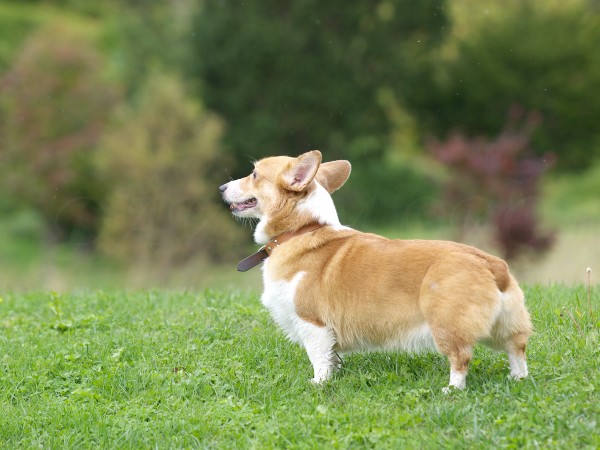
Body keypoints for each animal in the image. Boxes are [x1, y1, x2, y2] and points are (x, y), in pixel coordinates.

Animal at [219, 151, 528, 390]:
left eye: (254, 174)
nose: (221, 187)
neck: (303, 229)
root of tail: (491, 264)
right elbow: (332, 358)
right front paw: (335, 376)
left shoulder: (312, 324)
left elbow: (318, 359)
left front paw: (319, 383)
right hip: (506, 325)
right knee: (517, 349)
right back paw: (517, 379)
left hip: (446, 325)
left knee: (461, 358)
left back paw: (451, 389)